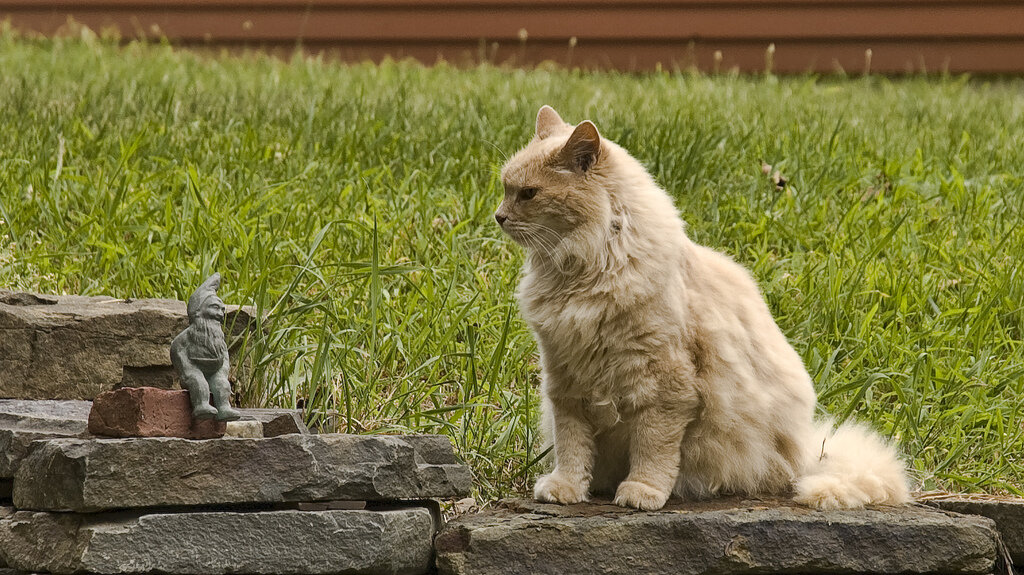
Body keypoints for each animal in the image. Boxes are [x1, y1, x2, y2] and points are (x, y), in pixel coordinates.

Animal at [497, 105, 913, 507]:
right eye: (505, 188)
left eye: (528, 194)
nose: (498, 216)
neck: (586, 270)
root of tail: (809, 453)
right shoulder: (565, 383)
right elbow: (572, 450)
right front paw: (565, 489)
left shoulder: (663, 389)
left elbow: (653, 451)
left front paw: (641, 493)